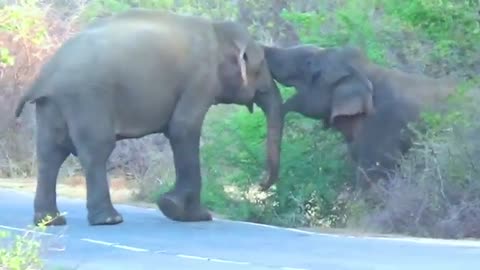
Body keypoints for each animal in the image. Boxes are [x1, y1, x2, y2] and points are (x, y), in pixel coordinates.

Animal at [14, 8, 284, 226]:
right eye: (260, 69)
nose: (260, 184)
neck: (218, 31)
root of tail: (43, 77)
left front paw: (180, 211)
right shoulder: (200, 79)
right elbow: (183, 129)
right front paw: (190, 215)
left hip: (52, 104)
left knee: (50, 154)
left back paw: (50, 221)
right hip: (86, 97)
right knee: (95, 149)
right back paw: (109, 220)